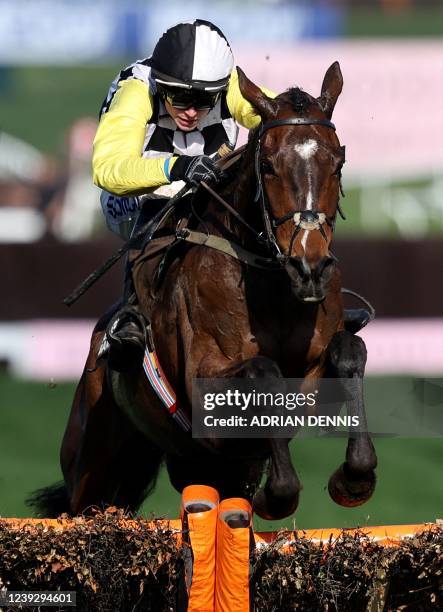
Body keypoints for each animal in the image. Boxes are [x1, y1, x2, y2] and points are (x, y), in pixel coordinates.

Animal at [28, 62, 378, 520]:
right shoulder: (205, 377)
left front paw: (354, 478)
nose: (310, 267)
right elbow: (263, 372)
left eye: (337, 162)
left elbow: (350, 352)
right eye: (268, 165)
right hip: (93, 465)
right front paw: (278, 494)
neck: (273, 288)